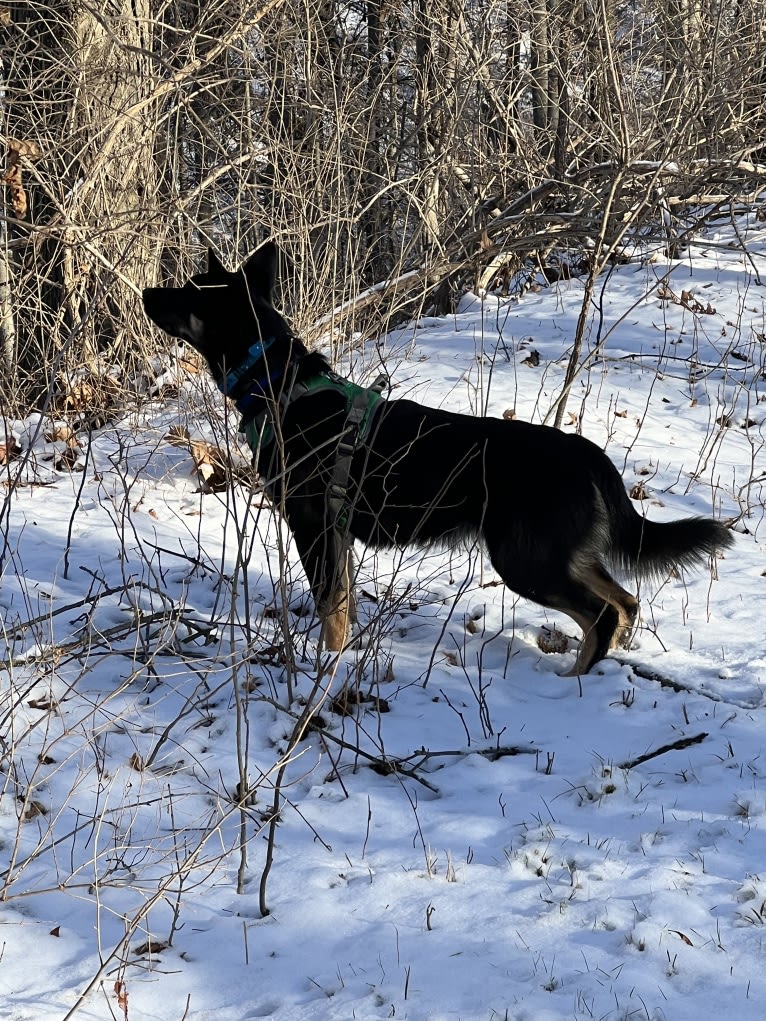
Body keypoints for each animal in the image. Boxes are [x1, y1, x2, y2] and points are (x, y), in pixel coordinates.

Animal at [140, 242, 735, 673]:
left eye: (187, 292)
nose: (145, 291)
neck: (279, 384)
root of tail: (587, 454)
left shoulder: (314, 528)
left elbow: (331, 610)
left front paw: (325, 669)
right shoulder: (337, 535)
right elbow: (344, 609)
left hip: (524, 560)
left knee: (602, 612)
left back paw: (576, 681)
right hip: (557, 552)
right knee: (624, 600)